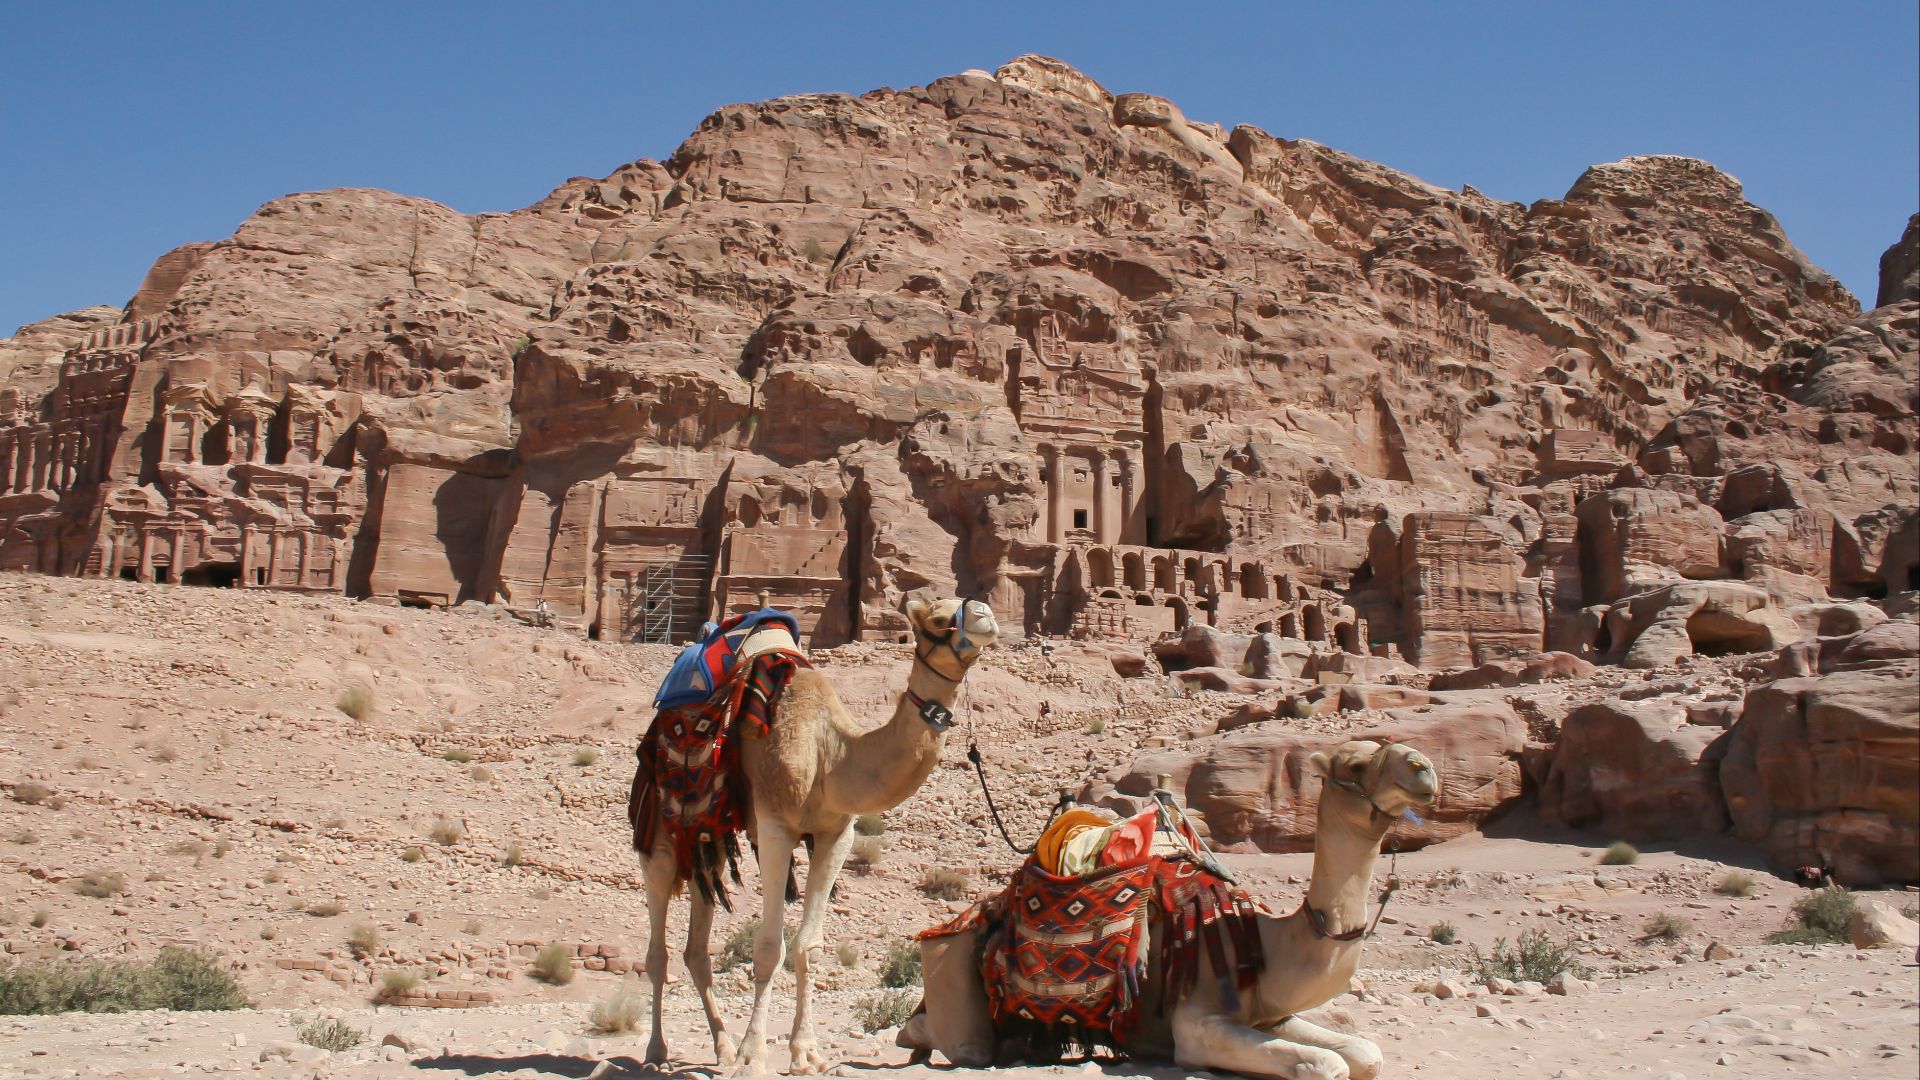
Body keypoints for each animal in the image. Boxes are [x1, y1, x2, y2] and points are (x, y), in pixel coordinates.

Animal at [637, 596, 1000, 1075]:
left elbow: (808, 947)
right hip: (659, 829)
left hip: (706, 837)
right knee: (657, 944)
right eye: (939, 618)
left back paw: (722, 1048)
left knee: (696, 945)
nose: (984, 615)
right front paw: (754, 1056)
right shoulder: (774, 826)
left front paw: (805, 1053)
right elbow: (769, 948)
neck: (832, 754)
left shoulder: (836, 834)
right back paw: (656, 1051)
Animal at [901, 738, 1438, 1080]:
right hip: (956, 980)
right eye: (1356, 767)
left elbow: (1365, 1052)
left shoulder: (1265, 1015)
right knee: (958, 1040)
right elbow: (1326, 1064)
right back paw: (915, 1040)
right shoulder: (1195, 1023)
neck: (1264, 941)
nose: (1423, 768)